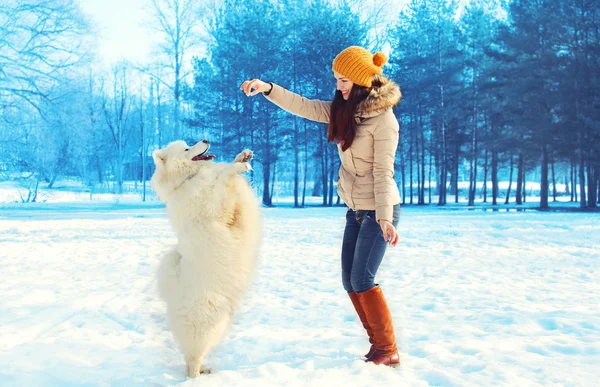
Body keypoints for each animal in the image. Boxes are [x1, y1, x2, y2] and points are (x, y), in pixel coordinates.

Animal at [151, 139, 262, 378]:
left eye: (188, 142)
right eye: (186, 148)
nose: (205, 140)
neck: (188, 179)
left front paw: (242, 157)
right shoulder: (216, 206)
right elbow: (223, 177)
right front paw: (238, 166)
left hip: (221, 322)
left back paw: (205, 370)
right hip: (206, 322)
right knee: (192, 356)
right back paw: (194, 376)